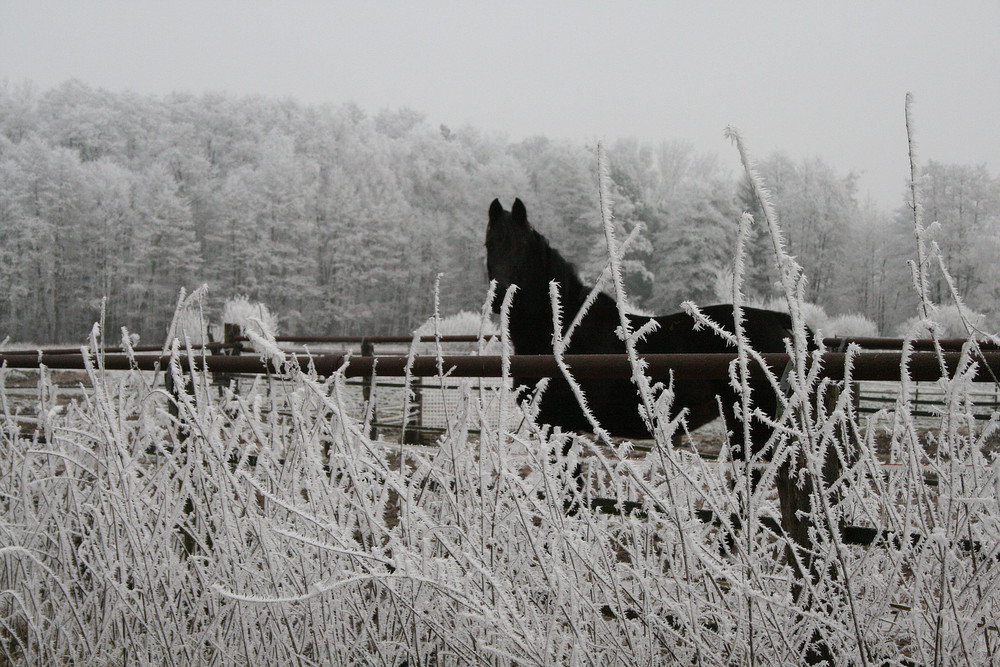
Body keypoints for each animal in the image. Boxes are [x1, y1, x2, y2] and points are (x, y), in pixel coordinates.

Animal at [486, 197, 804, 460]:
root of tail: (776, 320)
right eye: (489, 245)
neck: (564, 331)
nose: (500, 297)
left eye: (521, 246)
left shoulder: (559, 425)